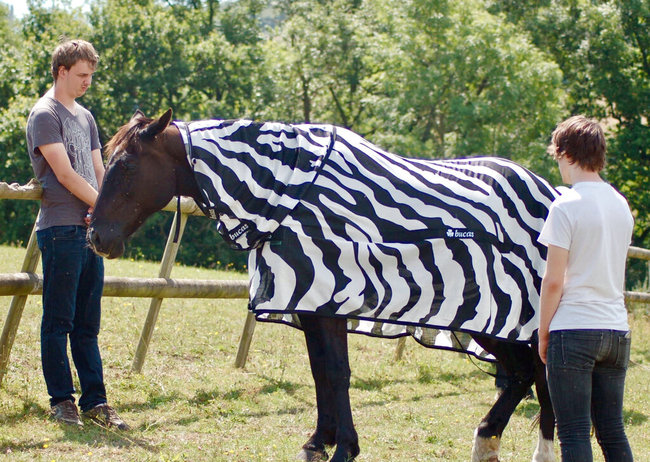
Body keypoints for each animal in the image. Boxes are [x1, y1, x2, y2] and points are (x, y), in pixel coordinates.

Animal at [86, 109, 556, 462]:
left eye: (126, 165)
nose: (96, 237)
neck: (292, 196)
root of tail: (548, 193)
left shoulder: (331, 298)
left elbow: (336, 371)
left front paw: (344, 448)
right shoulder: (310, 303)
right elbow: (320, 371)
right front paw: (319, 441)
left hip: (509, 319)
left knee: (537, 376)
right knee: (524, 375)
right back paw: (488, 442)